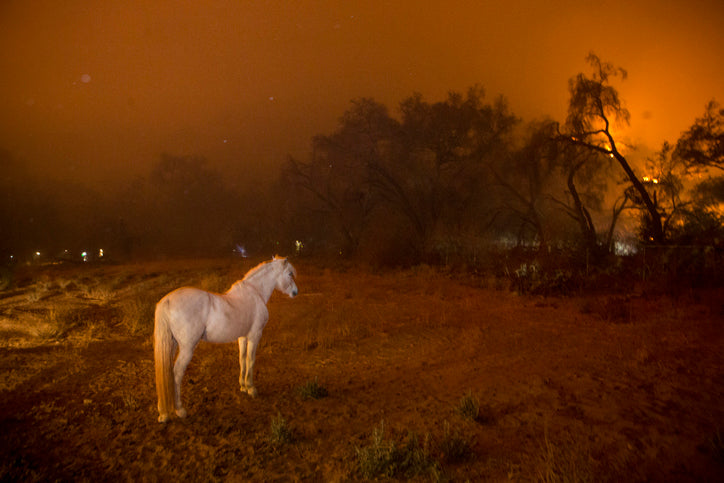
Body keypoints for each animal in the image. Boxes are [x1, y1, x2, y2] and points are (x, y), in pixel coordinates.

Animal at [154, 256, 298, 423]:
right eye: (289, 274)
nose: (295, 292)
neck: (255, 293)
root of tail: (167, 301)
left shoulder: (242, 337)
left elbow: (242, 359)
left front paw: (243, 386)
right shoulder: (255, 336)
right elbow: (251, 360)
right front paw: (251, 388)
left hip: (172, 345)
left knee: (166, 373)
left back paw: (164, 412)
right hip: (186, 348)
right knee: (177, 373)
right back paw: (180, 410)